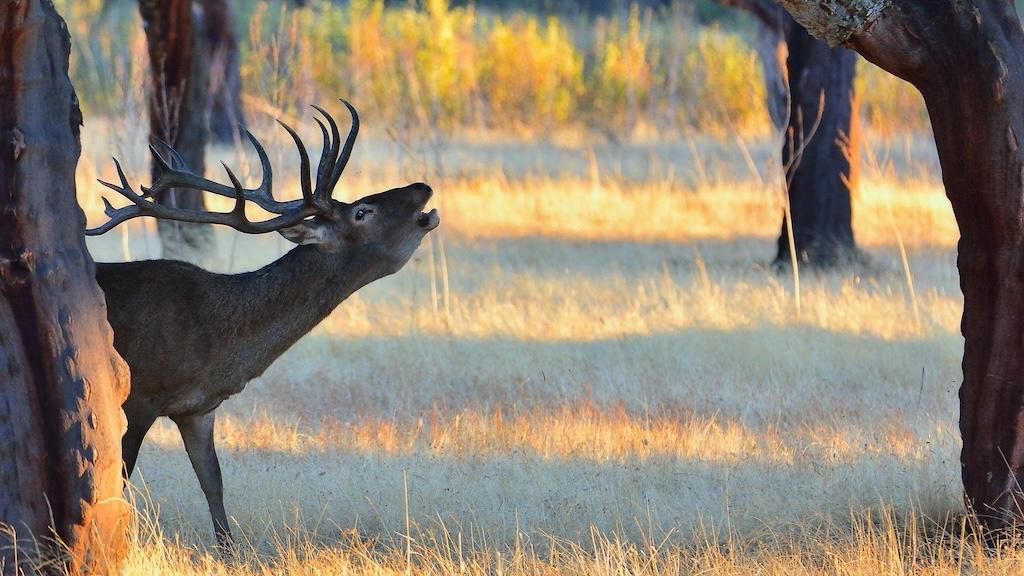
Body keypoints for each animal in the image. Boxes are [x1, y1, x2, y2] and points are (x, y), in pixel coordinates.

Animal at [88, 101, 439, 547]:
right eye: (363, 211)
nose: (422, 187)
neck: (216, 342)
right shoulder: (139, 394)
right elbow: (120, 478)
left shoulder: (198, 408)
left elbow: (213, 482)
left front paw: (228, 549)